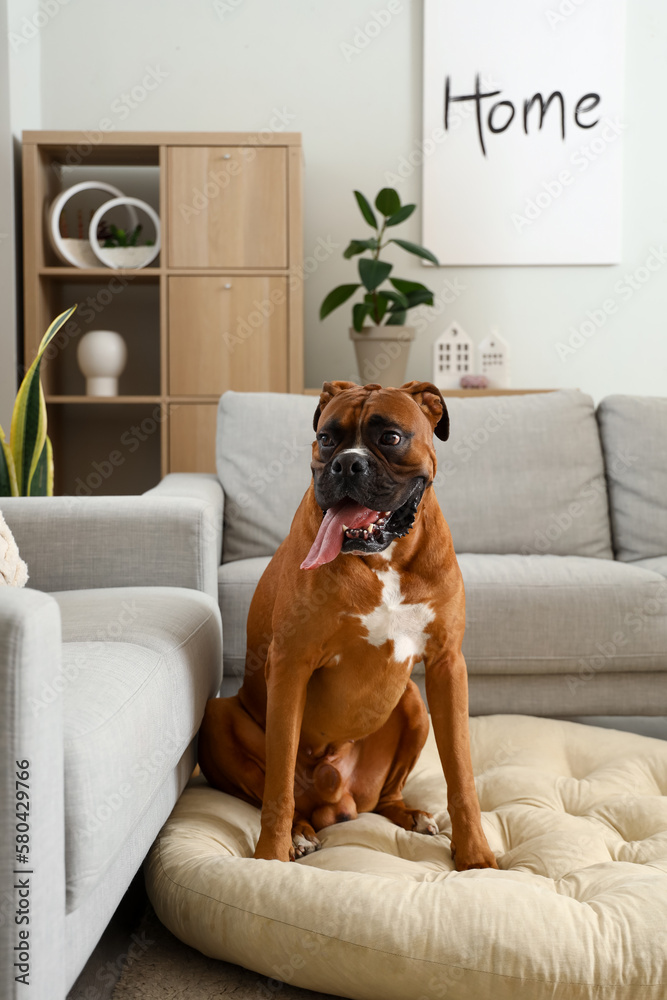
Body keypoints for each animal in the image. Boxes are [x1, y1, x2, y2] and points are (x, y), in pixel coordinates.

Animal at [201, 378, 498, 872]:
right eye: (326, 438)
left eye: (390, 437)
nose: (347, 463)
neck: (383, 558)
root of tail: (339, 803)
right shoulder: (290, 666)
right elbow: (278, 782)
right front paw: (269, 858)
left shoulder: (446, 666)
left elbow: (460, 772)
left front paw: (475, 855)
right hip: (218, 716)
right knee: (278, 790)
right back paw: (299, 833)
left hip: (412, 701)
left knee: (385, 797)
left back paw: (409, 814)